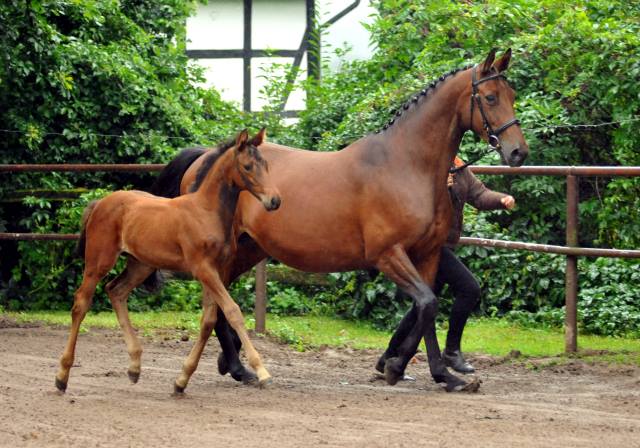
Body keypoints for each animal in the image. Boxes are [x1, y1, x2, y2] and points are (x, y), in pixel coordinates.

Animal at [56, 129, 282, 392]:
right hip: (99, 260)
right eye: (247, 166)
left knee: (116, 291)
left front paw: (182, 380)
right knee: (81, 303)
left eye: (266, 165)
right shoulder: (203, 269)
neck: (206, 212)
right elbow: (232, 311)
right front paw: (262, 371)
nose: (274, 200)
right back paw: (62, 376)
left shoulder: (218, 271)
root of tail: (99, 203)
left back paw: (134, 367)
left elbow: (208, 320)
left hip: (141, 265)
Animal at [146, 49, 528, 392]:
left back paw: (236, 366)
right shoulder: (388, 255)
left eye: (512, 95)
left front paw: (437, 374)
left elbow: (426, 311)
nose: (518, 152)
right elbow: (428, 305)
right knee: (217, 297)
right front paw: (409, 369)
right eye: (490, 97)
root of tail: (207, 156)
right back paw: (239, 367)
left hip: (248, 249)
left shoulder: (429, 255)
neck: (405, 166)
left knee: (220, 297)